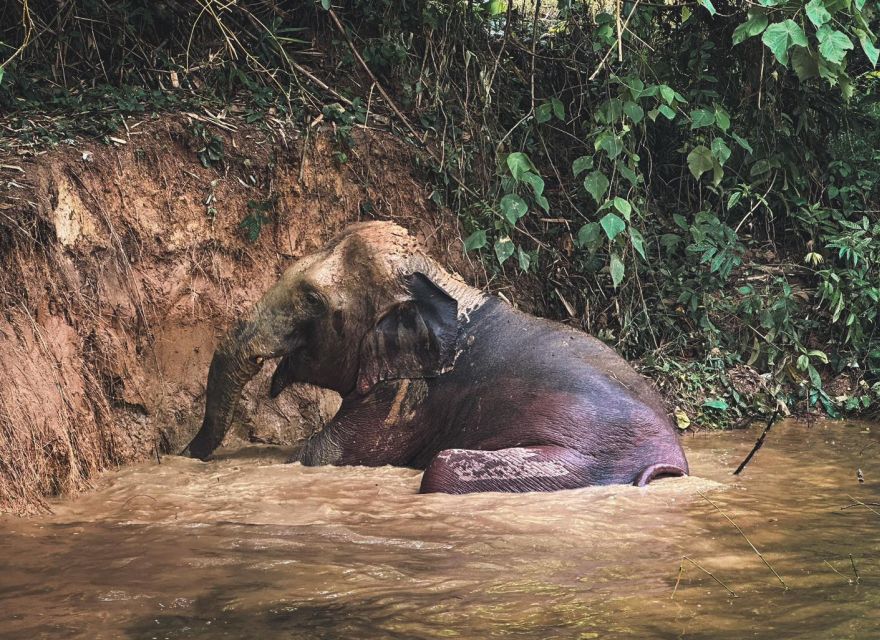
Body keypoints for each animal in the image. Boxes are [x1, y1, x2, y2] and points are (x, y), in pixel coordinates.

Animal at [182, 221, 688, 496]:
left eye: (313, 300)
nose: (182, 454)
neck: (439, 278)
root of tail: (673, 456)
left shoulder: (405, 395)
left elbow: (322, 454)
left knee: (442, 470)